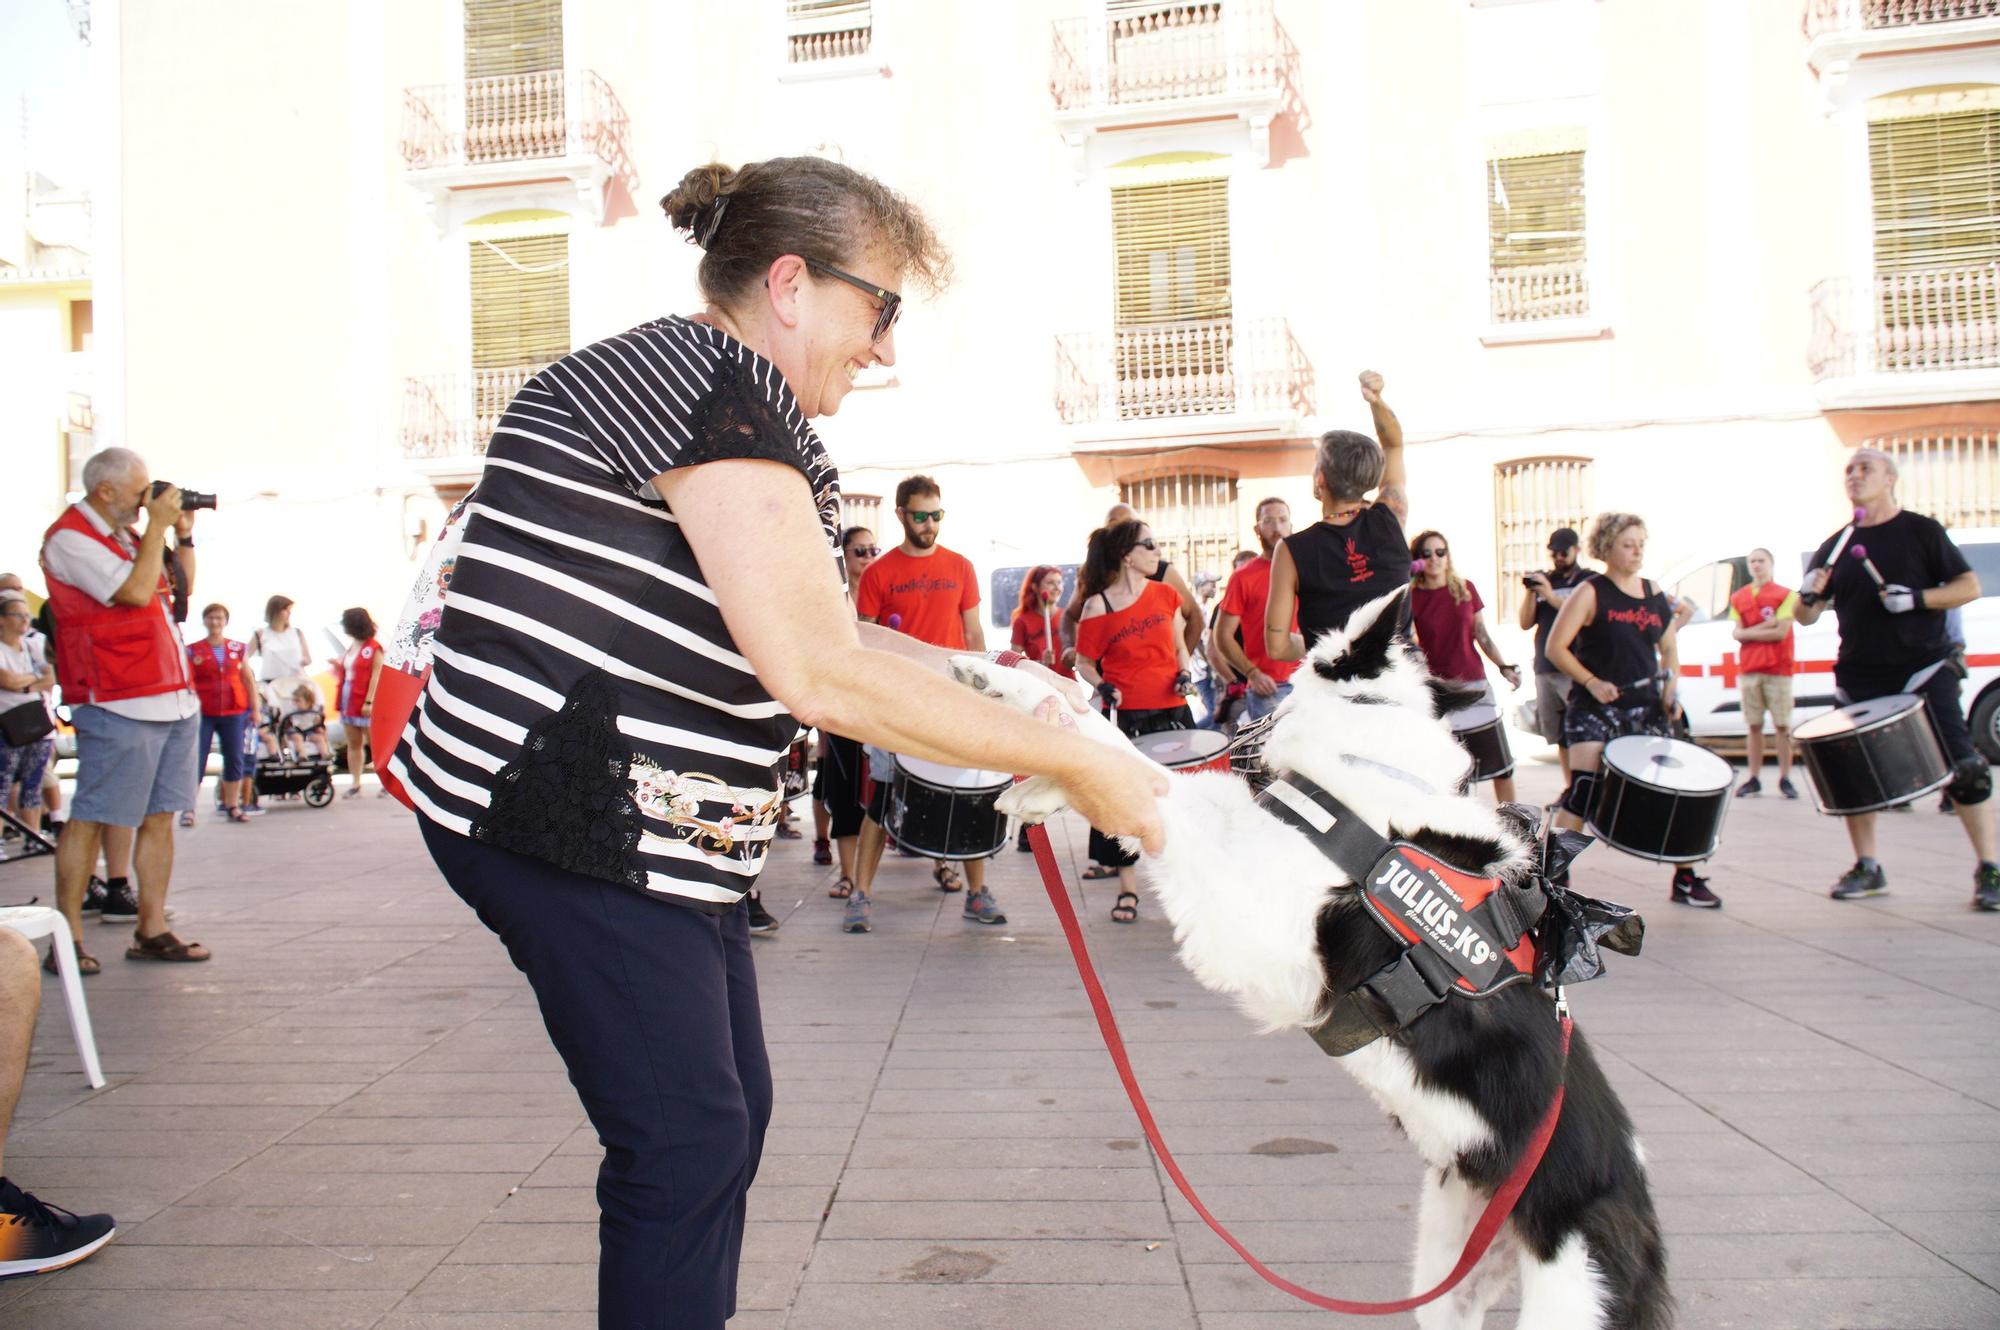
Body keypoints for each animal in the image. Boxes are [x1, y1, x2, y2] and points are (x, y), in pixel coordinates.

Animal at [952, 588, 1672, 1328]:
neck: (1367, 764)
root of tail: (1643, 1222)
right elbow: (1128, 755)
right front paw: (1020, 719)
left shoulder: (1249, 906)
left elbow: (1149, 774)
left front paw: (1018, 697)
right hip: (1450, 1272)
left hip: (1568, 1297)